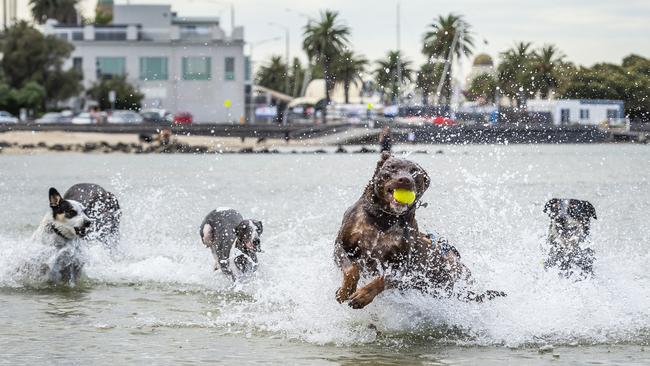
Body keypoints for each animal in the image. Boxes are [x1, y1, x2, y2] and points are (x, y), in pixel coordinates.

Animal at [334, 152, 506, 308]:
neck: (384, 219)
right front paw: (345, 291)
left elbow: (384, 279)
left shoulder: (404, 266)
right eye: (391, 167)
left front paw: (363, 296)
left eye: (415, 173)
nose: (405, 179)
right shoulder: (341, 246)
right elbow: (351, 269)